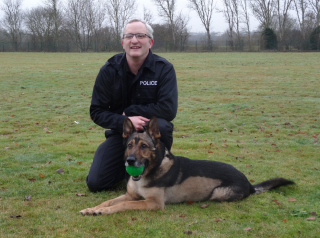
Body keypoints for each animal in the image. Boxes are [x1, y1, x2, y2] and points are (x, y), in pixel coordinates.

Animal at [80, 117, 296, 216]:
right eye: (129, 146)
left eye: (144, 147)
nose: (130, 161)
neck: (151, 170)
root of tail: (249, 183)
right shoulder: (131, 195)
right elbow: (109, 201)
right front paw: (93, 209)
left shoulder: (153, 204)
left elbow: (123, 205)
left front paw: (103, 211)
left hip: (217, 193)